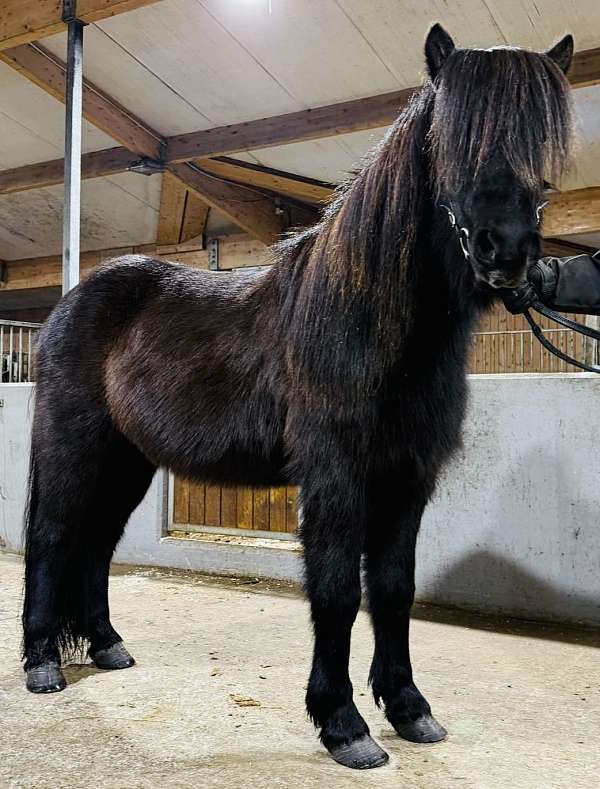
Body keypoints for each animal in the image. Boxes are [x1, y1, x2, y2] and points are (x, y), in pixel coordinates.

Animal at [23, 26, 576, 768]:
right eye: (447, 138)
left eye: (539, 146)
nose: (507, 253)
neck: (364, 317)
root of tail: (72, 301)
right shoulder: (337, 475)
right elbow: (337, 589)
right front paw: (344, 724)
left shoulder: (408, 478)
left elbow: (394, 589)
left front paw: (410, 708)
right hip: (73, 447)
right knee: (52, 535)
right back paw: (41, 664)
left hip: (127, 461)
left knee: (98, 541)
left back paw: (109, 647)